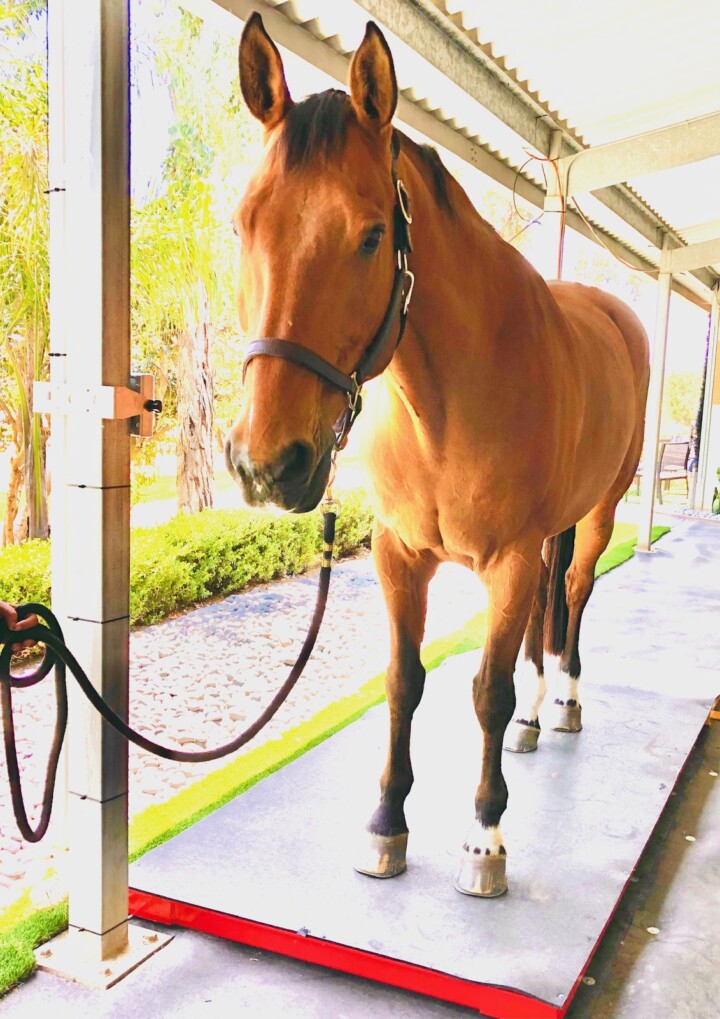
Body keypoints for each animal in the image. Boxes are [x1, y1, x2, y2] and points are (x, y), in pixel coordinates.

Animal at [226, 13, 650, 897]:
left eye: (371, 235)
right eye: (242, 224)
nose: (265, 464)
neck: (449, 408)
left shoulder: (510, 561)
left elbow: (485, 688)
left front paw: (484, 836)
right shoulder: (400, 555)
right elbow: (405, 680)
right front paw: (387, 822)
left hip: (600, 511)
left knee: (575, 592)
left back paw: (562, 699)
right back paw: (537, 715)